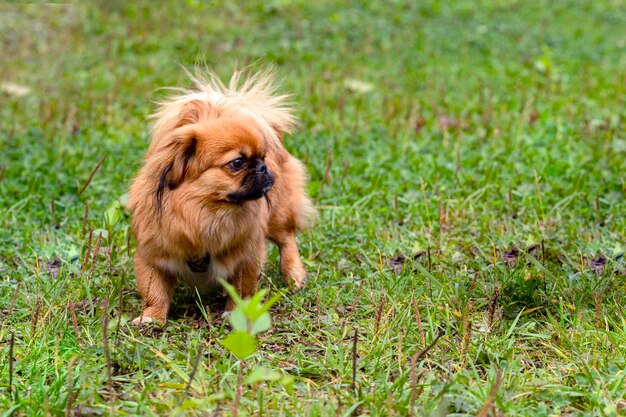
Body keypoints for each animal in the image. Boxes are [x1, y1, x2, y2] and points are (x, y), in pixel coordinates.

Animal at [127, 68, 314, 324]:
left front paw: (236, 313)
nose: (263, 167)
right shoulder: (151, 256)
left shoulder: (248, 255)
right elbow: (155, 292)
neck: (204, 213)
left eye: (262, 157)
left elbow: (243, 289)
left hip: (278, 214)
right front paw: (152, 318)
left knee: (287, 239)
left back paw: (294, 276)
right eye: (237, 163)